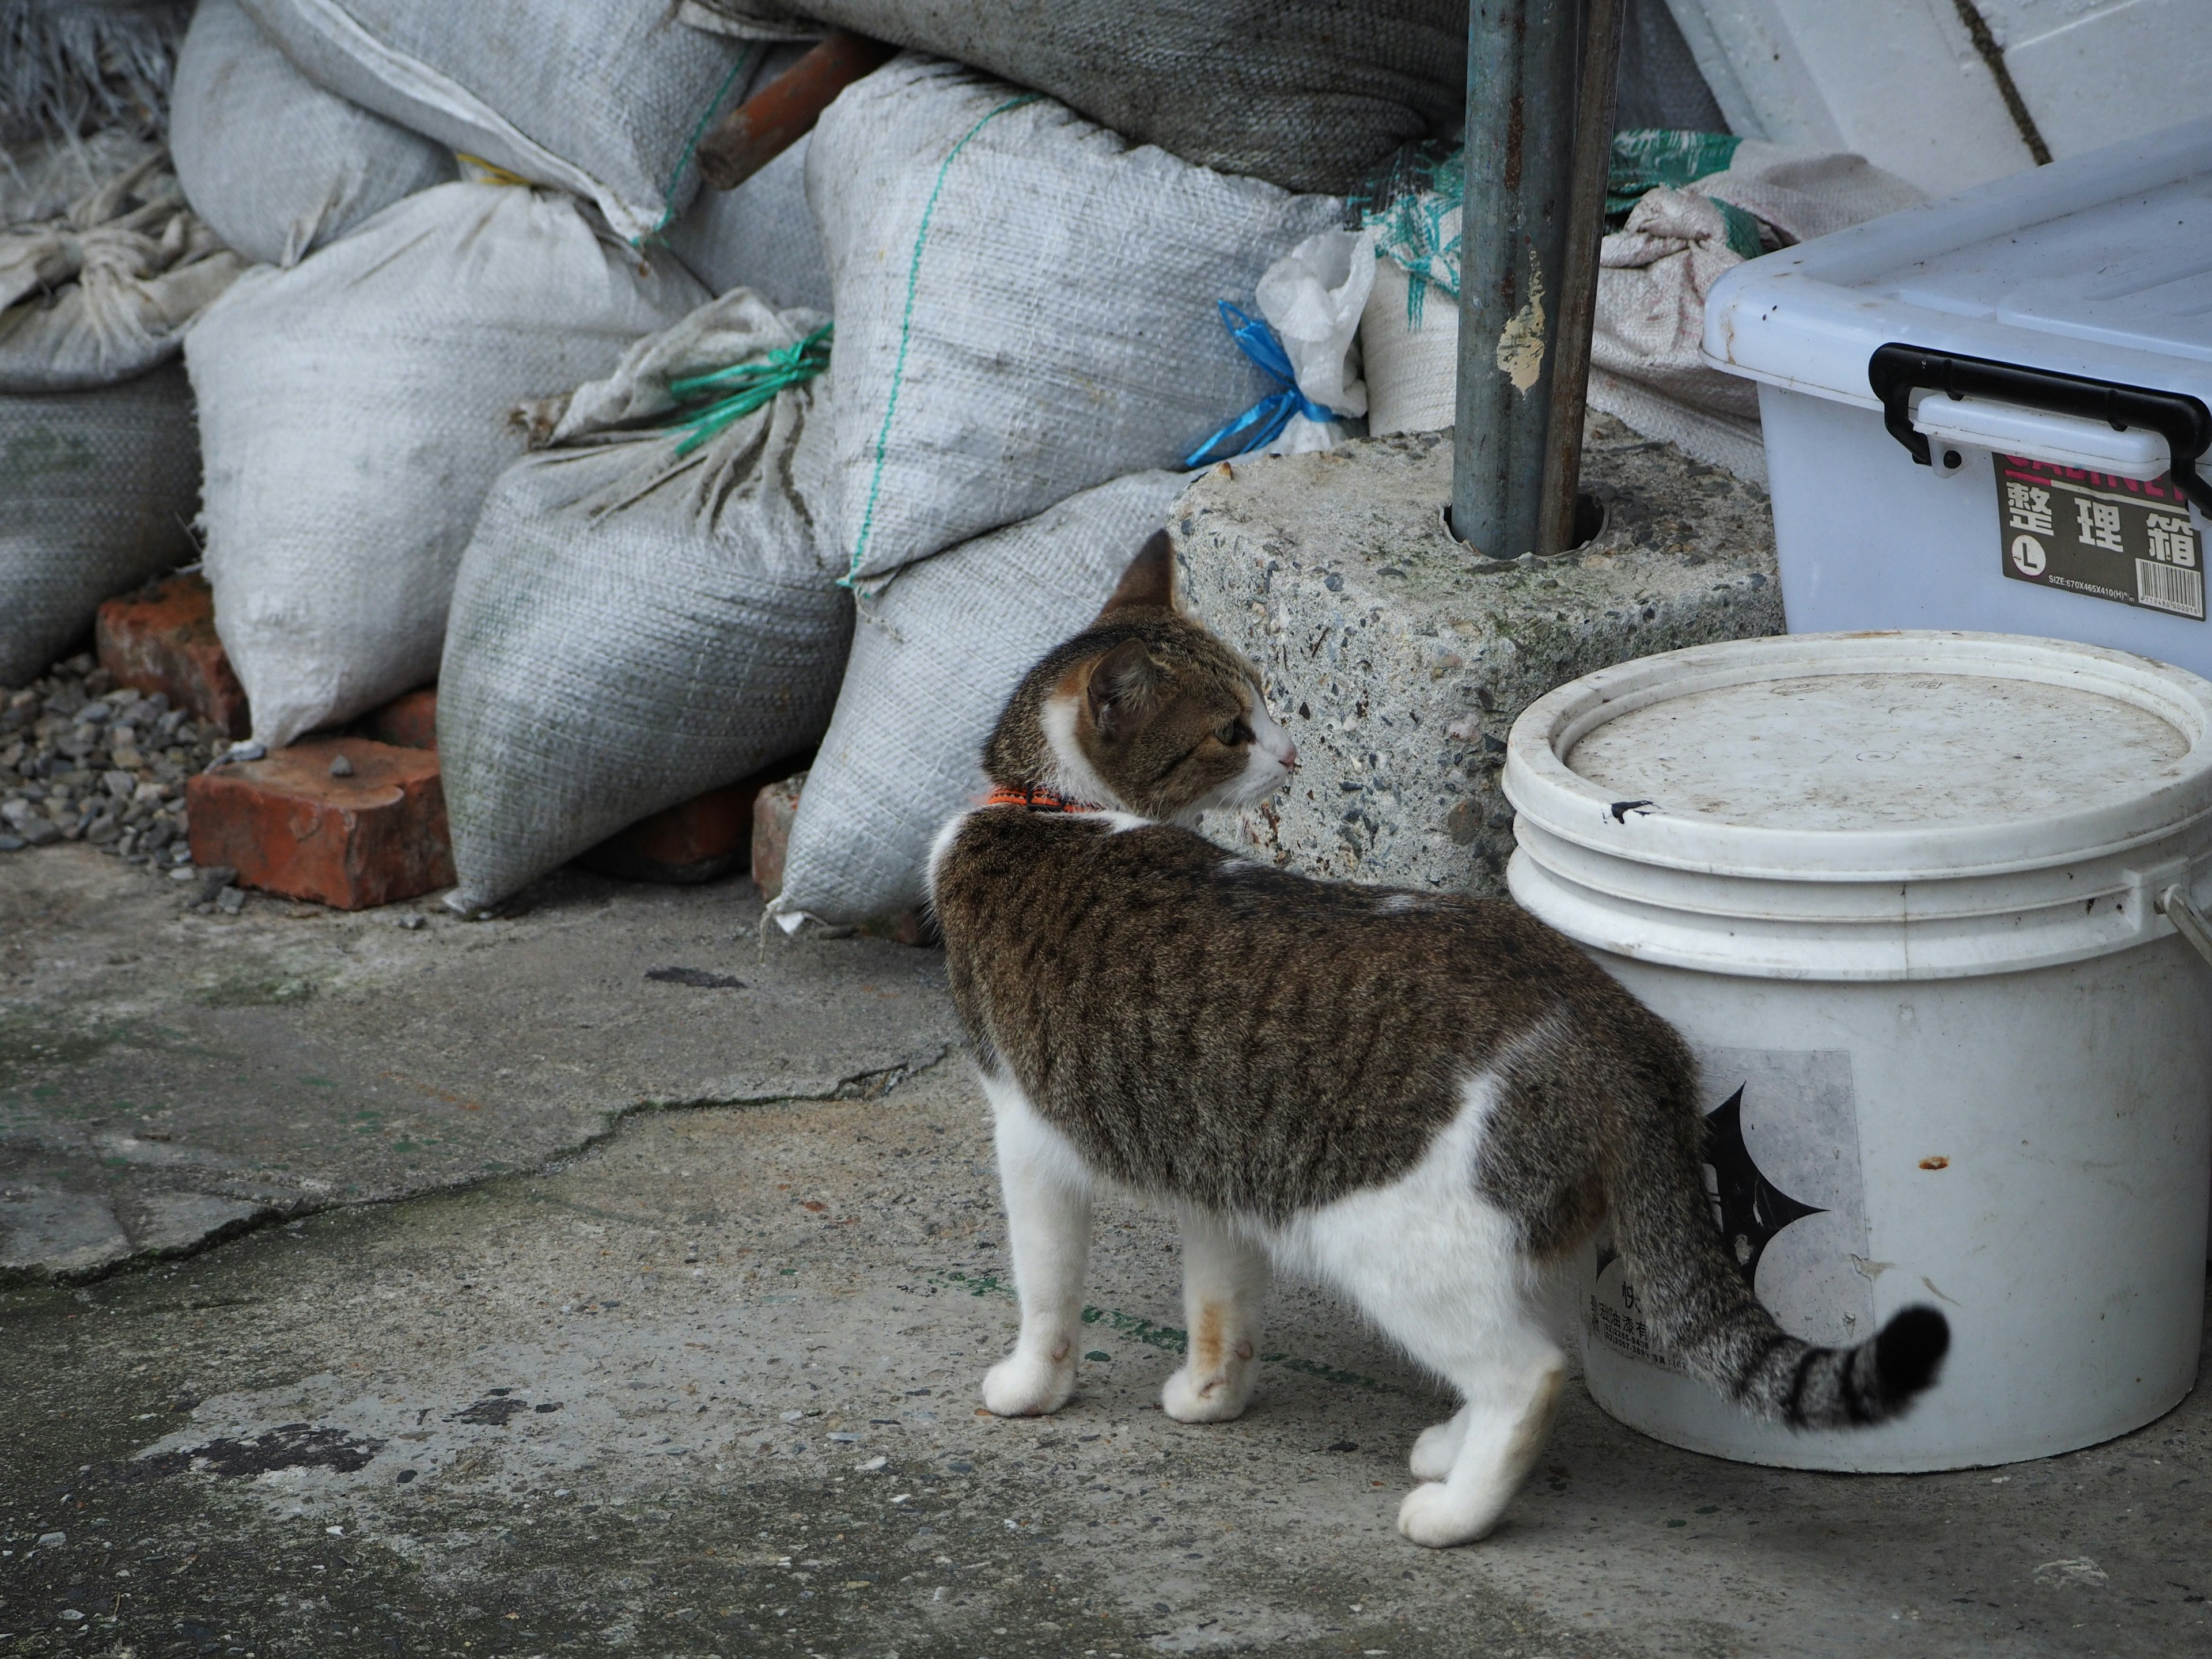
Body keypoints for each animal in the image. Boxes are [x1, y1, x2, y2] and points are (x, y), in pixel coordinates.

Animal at [925, 528, 1946, 1548]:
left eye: (1261, 704)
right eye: (1232, 729)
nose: (1293, 755)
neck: (1053, 809)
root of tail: (1623, 1034)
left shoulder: (1027, 1134)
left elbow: (1046, 1290)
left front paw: (1030, 1387)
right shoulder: (1214, 1164)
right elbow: (1220, 1300)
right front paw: (1208, 1396)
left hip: (1399, 1242)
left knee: (1530, 1373)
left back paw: (1456, 1510)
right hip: (1517, 1230)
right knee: (1531, 1336)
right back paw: (1451, 1448)